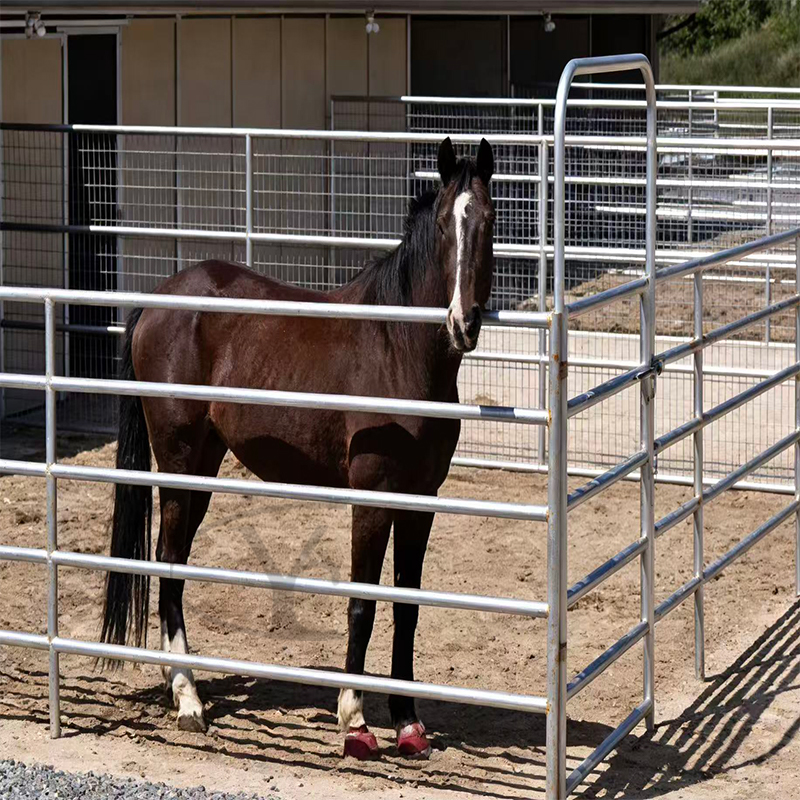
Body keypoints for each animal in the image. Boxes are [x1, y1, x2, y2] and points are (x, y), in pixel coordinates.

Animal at [100, 136, 495, 760]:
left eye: (488, 221)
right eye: (441, 225)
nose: (463, 323)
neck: (397, 349)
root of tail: (159, 300)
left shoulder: (421, 500)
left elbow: (407, 606)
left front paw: (408, 723)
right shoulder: (373, 496)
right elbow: (363, 602)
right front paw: (355, 721)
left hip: (205, 464)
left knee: (174, 561)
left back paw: (176, 683)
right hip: (180, 462)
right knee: (168, 562)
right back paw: (189, 701)